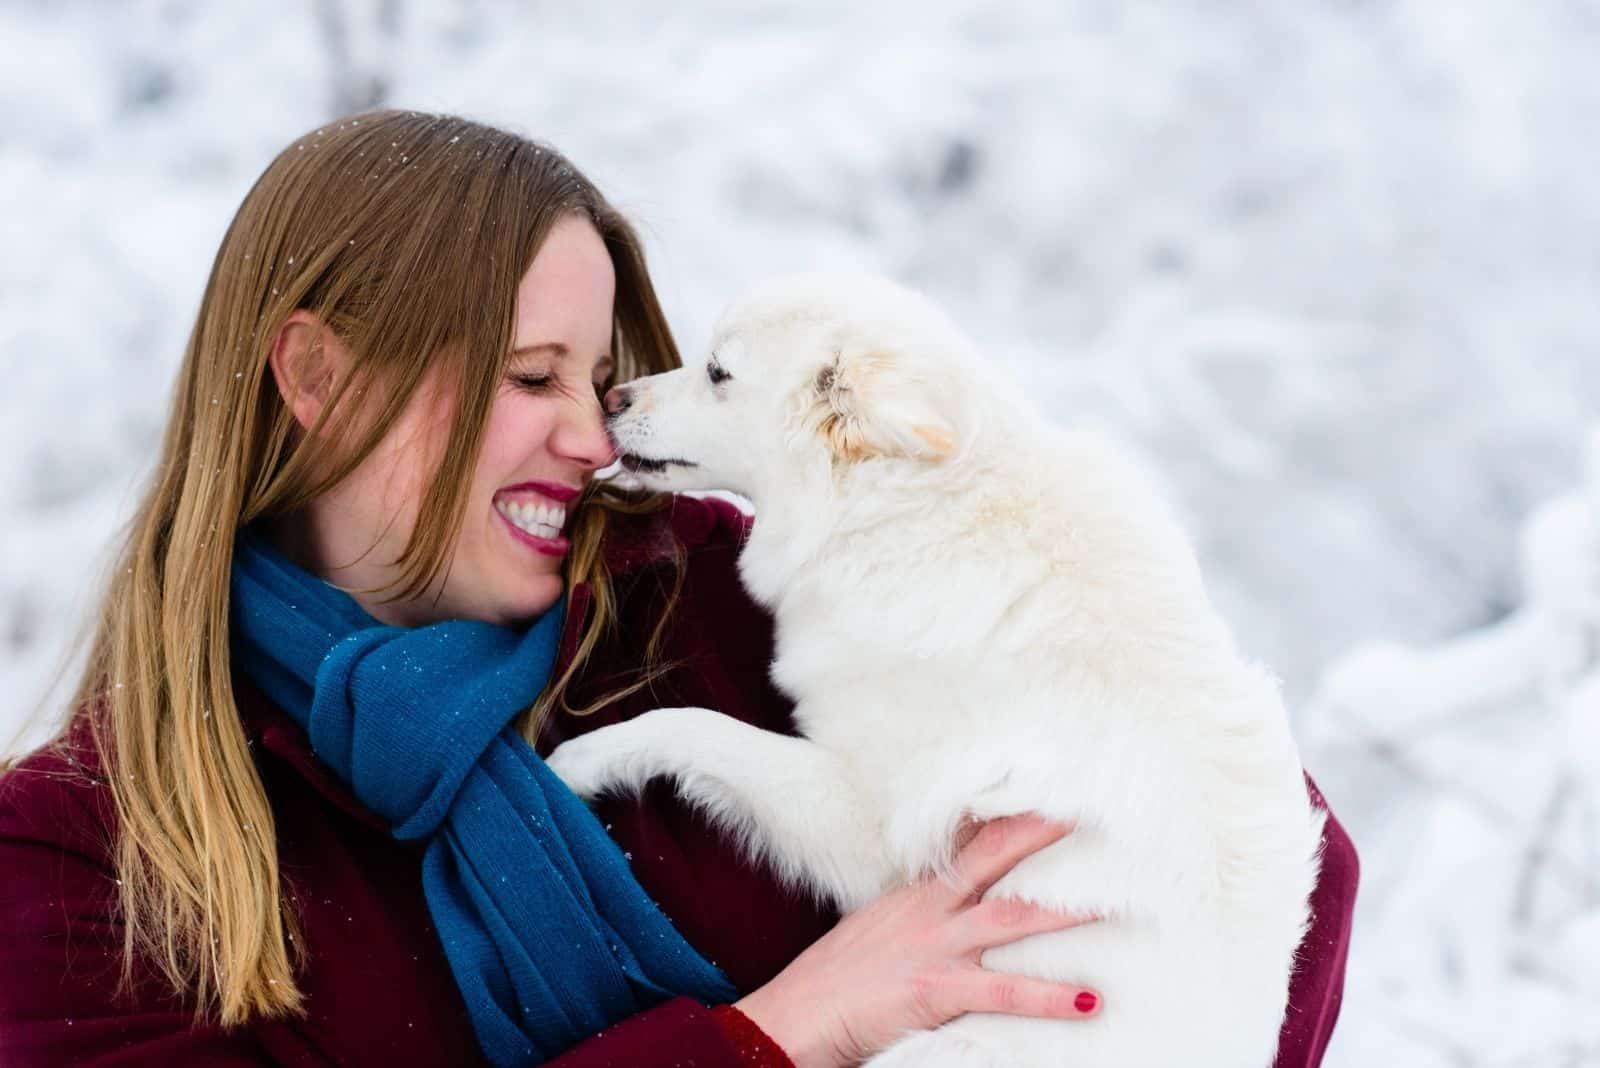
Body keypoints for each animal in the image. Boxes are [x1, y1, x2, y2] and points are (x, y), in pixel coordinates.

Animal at [550, 274, 1324, 1068]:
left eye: (717, 371)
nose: (613, 398)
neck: (912, 506)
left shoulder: (869, 828)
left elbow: (695, 726)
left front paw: (578, 761)